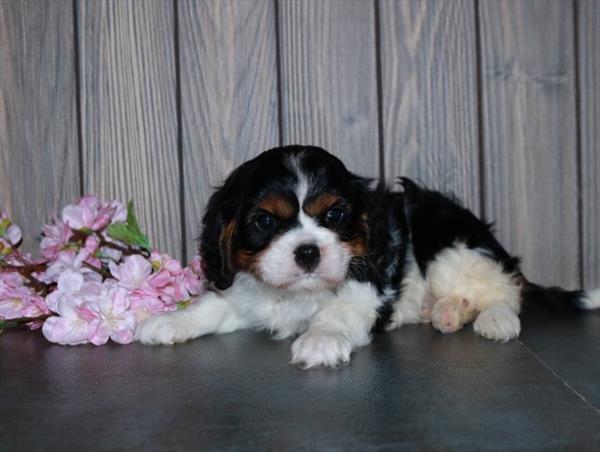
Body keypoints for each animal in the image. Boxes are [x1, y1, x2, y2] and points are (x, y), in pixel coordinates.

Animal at [136, 145, 600, 368]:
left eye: (335, 215)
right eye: (265, 221)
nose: (308, 252)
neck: (297, 295)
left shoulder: (364, 289)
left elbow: (336, 313)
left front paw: (320, 340)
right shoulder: (245, 295)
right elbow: (213, 306)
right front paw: (170, 320)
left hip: (451, 244)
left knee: (503, 289)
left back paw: (495, 319)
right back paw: (446, 313)